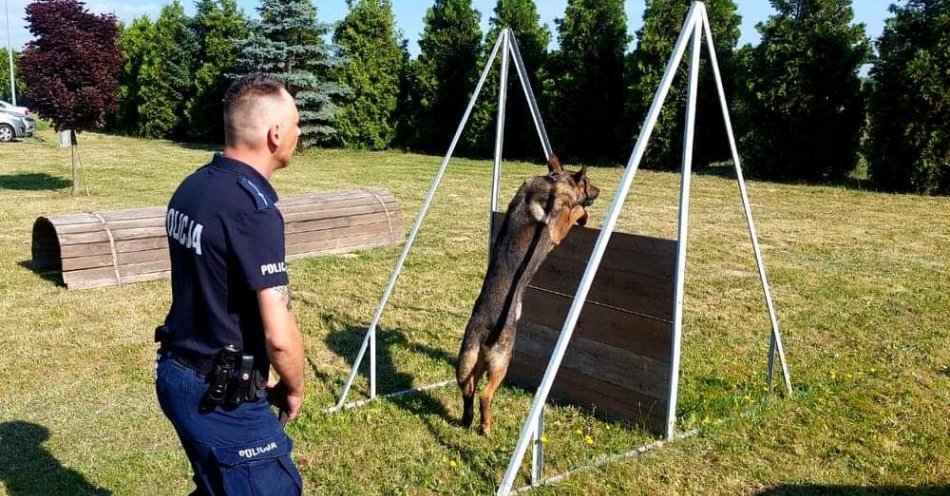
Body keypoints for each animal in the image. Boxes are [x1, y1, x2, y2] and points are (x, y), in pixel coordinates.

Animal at [456, 154, 604, 434]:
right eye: (588, 182)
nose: (600, 190)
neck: (554, 180)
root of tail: (484, 328)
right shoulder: (558, 229)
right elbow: (575, 212)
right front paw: (583, 215)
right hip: (502, 361)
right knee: (484, 395)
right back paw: (486, 428)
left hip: (470, 363)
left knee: (468, 391)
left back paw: (468, 421)